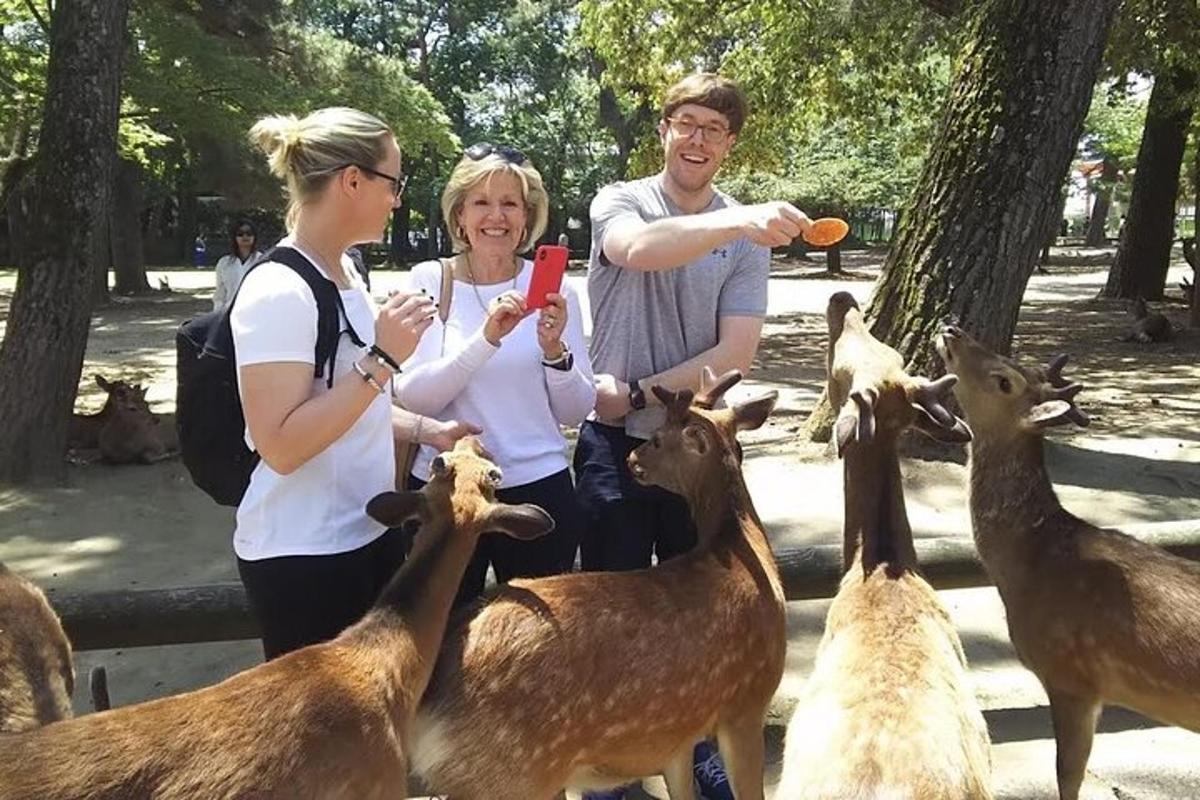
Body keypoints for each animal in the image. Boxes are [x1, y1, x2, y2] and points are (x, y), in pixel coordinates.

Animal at [410, 367, 787, 800]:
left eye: (658, 439)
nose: (632, 458)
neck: (743, 550)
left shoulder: (678, 731)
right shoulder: (749, 699)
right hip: (514, 773)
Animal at [936, 326, 1200, 800]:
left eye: (1004, 380)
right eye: (1013, 363)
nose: (952, 330)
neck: (1026, 564)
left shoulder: (1071, 675)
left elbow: (1067, 774)